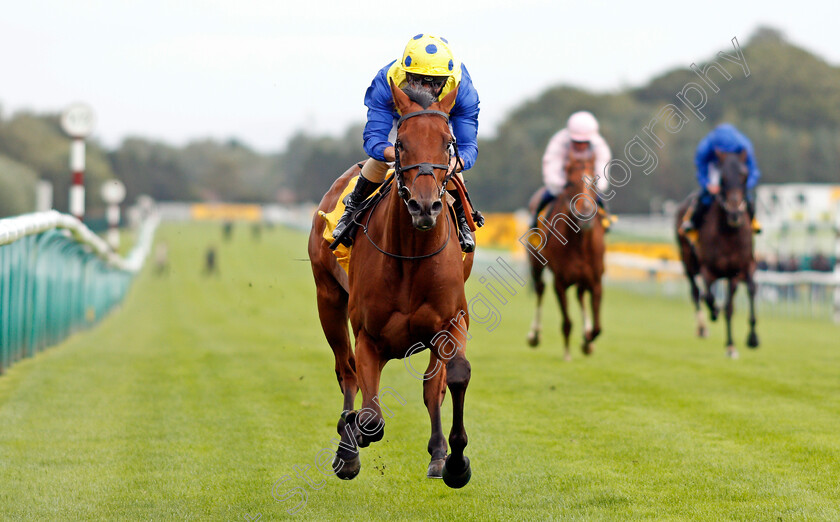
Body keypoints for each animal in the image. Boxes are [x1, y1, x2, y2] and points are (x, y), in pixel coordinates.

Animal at [524, 146, 604, 358]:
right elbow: (567, 322)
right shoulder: (560, 282)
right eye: (570, 183)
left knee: (580, 295)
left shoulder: (596, 281)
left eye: (594, 181)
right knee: (540, 288)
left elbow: (597, 329)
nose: (585, 216)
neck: (580, 244)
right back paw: (534, 335)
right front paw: (568, 353)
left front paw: (587, 341)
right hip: (535, 262)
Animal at [676, 148, 760, 356]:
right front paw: (715, 313)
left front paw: (732, 345)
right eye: (722, 178)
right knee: (696, 292)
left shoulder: (736, 270)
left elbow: (730, 306)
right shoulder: (708, 269)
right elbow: (709, 297)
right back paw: (703, 326)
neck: (728, 233)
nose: (734, 213)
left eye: (744, 175)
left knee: (749, 289)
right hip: (688, 261)